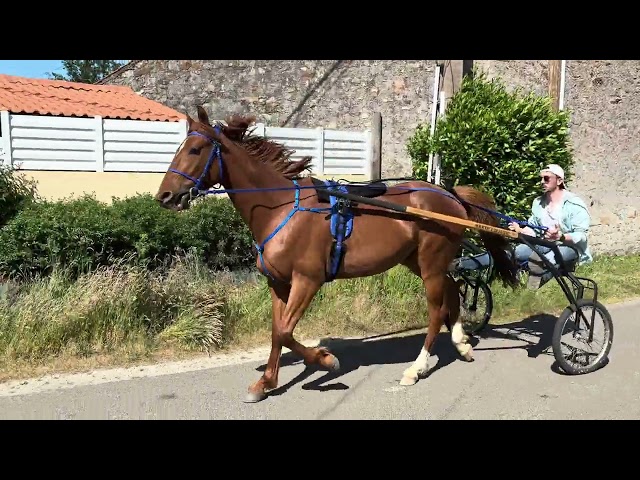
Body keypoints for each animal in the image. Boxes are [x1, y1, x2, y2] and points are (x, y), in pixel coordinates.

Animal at [155, 106, 520, 403]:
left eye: (196, 149)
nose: (165, 196)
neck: (282, 208)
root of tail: (450, 195)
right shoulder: (278, 284)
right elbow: (276, 331)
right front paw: (266, 382)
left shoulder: (307, 280)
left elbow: (286, 332)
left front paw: (325, 360)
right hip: (418, 261)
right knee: (452, 291)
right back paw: (462, 343)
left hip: (431, 262)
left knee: (436, 310)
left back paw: (415, 369)